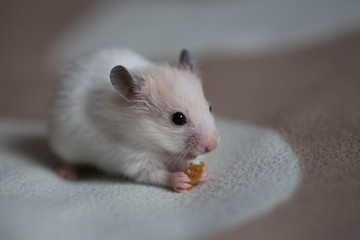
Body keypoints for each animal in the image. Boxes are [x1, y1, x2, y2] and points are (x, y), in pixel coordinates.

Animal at [47, 47, 219, 192]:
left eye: (210, 108)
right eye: (178, 118)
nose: (213, 146)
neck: (159, 147)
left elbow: (185, 162)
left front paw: (203, 173)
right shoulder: (131, 158)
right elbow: (155, 174)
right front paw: (181, 180)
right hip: (64, 143)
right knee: (65, 159)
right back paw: (68, 174)